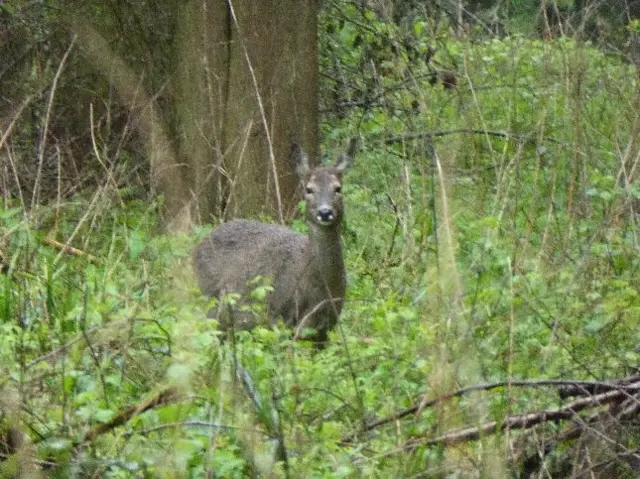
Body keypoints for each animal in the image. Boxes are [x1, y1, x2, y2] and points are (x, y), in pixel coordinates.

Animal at [192, 141, 358, 346]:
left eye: (338, 188)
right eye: (309, 189)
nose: (325, 212)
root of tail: (197, 247)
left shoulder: (327, 325)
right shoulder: (278, 316)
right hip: (209, 300)